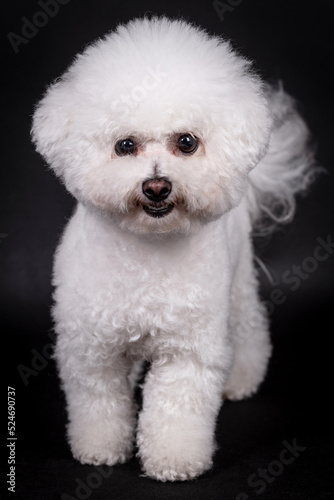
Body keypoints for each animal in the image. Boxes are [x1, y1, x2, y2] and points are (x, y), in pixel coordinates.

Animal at [31, 17, 316, 482]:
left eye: (186, 142)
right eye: (124, 145)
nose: (157, 186)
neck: (148, 249)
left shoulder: (188, 349)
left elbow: (177, 408)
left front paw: (174, 460)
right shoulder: (91, 346)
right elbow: (98, 401)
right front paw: (99, 448)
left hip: (237, 286)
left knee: (249, 326)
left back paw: (241, 378)